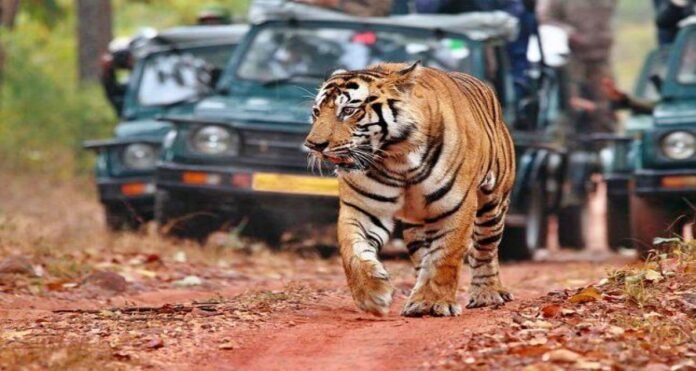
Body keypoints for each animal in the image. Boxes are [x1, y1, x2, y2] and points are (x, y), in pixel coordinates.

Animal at [304, 61, 516, 316]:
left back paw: (487, 294)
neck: (397, 159)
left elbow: (445, 256)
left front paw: (433, 302)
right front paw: (373, 295)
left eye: (347, 111)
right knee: (423, 256)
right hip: (417, 226)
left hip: (492, 204)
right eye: (316, 112)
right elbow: (352, 251)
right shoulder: (363, 209)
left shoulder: (456, 207)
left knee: (485, 249)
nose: (313, 145)